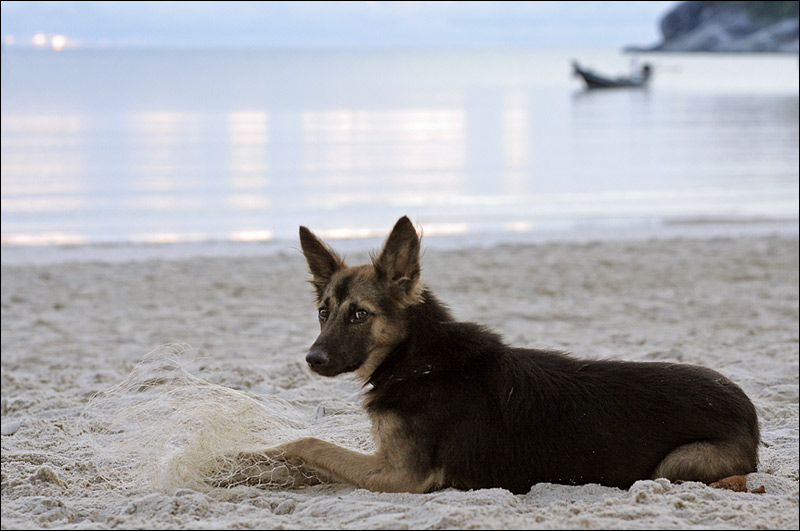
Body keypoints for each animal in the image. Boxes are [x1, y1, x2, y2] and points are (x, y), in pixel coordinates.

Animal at [231, 215, 756, 494]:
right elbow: (306, 457)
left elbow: (308, 444)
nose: (313, 359)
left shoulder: (400, 474)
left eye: (359, 314)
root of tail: (749, 411)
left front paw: (245, 458)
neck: (416, 357)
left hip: (678, 463)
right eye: (323, 312)